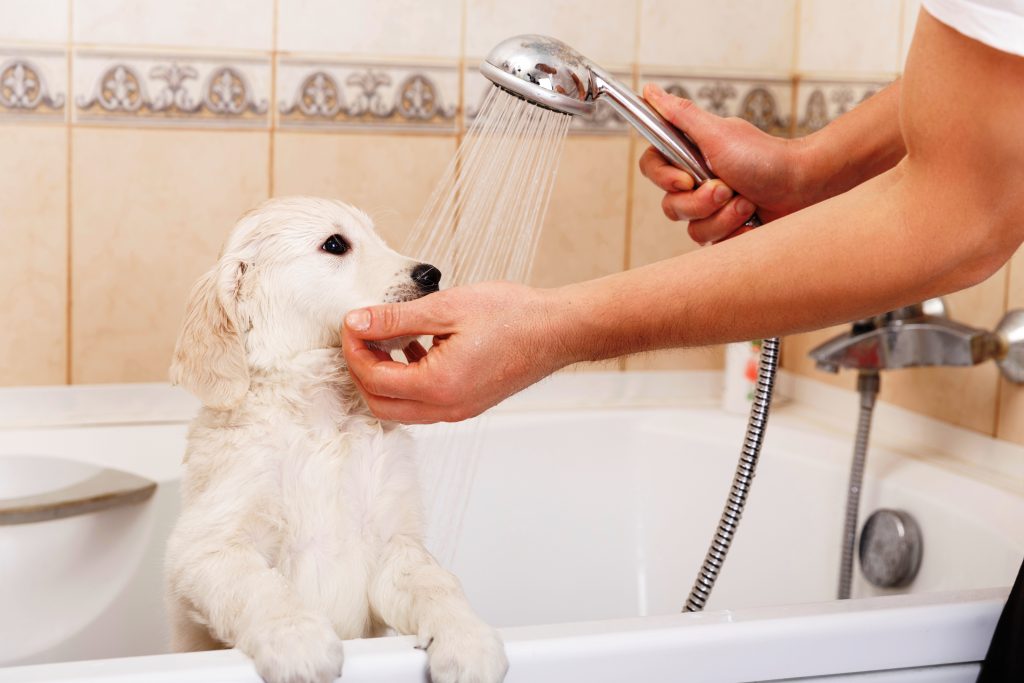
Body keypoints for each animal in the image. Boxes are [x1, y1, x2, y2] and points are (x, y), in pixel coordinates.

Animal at [162, 196, 507, 683]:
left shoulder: (394, 543)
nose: (431, 274)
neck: (321, 417)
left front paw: (469, 638)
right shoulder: (207, 546)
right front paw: (298, 641)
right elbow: (261, 588)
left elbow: (436, 584)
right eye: (335, 244)